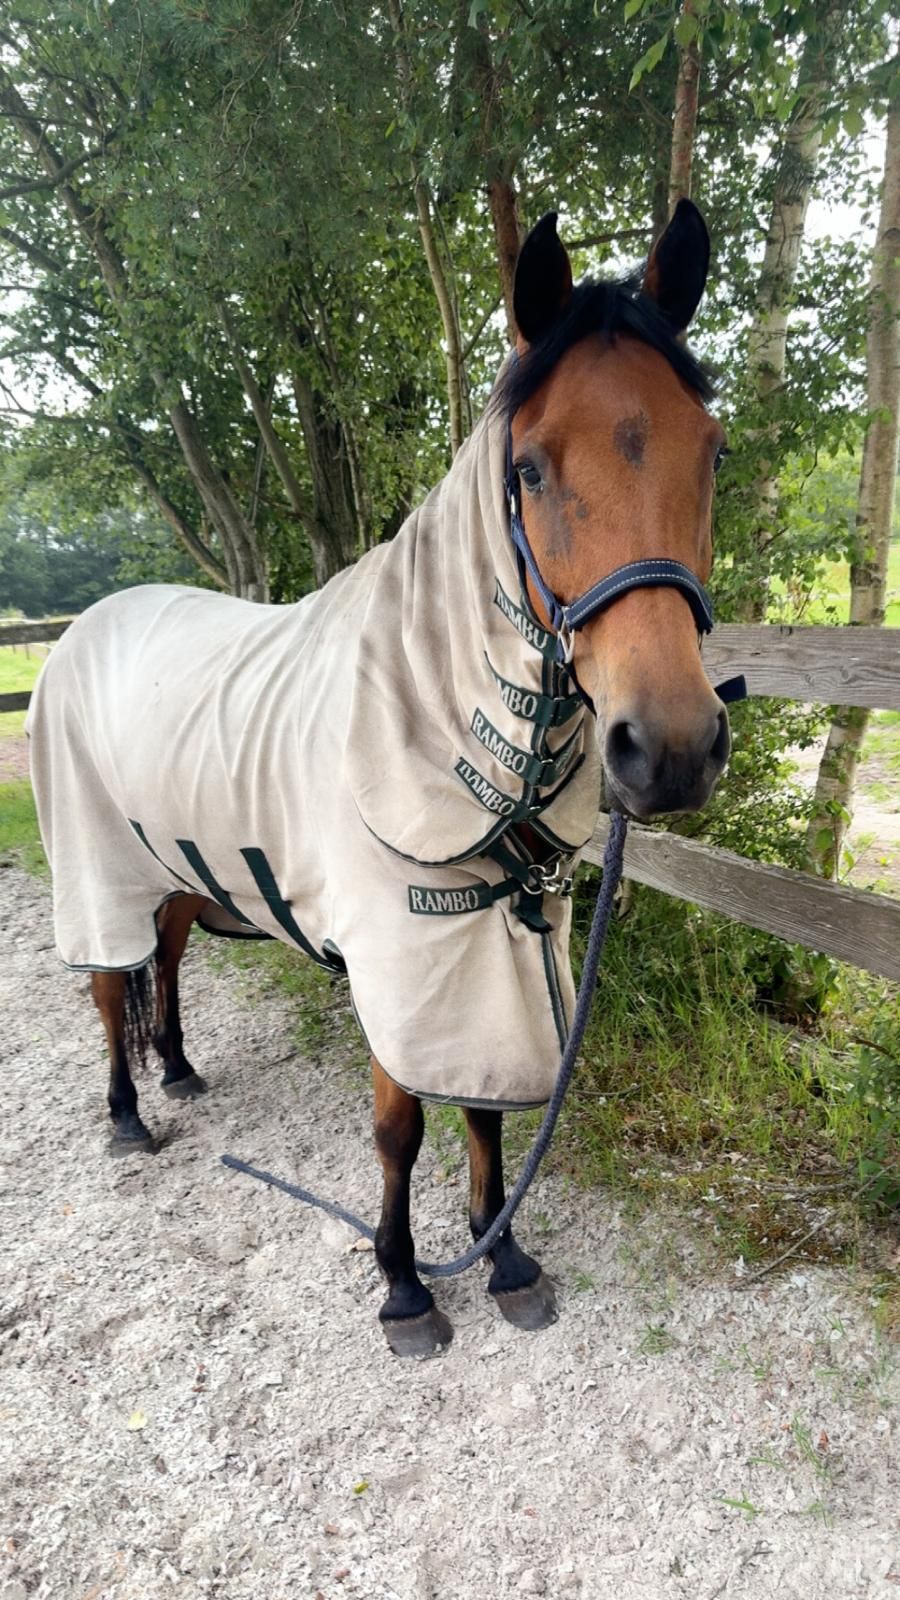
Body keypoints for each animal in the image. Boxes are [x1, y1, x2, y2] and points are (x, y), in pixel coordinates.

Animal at [26, 199, 731, 1358]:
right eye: (529, 469)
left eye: (711, 451)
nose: (669, 747)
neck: (445, 724)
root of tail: (88, 623)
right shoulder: (401, 956)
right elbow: (400, 1126)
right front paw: (405, 1284)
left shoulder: (494, 949)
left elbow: (484, 1106)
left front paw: (505, 1257)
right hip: (97, 865)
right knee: (107, 980)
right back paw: (129, 1114)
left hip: (172, 862)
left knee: (165, 958)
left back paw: (177, 1066)